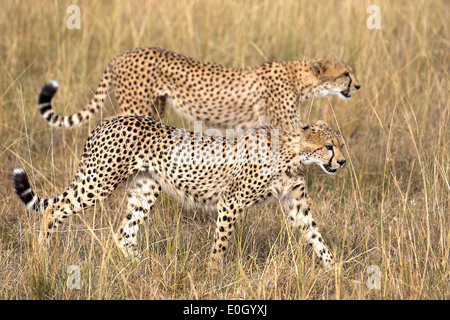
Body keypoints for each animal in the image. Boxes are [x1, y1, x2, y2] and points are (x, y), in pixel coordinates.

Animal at [14, 82, 346, 268]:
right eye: (329, 146)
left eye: (342, 145)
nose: (342, 162)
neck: (294, 153)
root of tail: (109, 120)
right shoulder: (231, 201)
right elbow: (221, 243)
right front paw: (213, 273)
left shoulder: (296, 205)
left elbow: (316, 237)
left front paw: (336, 271)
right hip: (99, 181)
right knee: (55, 208)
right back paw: (43, 253)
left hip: (145, 188)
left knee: (123, 234)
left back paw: (144, 265)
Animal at [38, 46, 362, 131]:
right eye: (346, 73)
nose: (358, 85)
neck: (299, 78)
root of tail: (121, 54)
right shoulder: (286, 124)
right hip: (135, 107)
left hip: (156, 108)